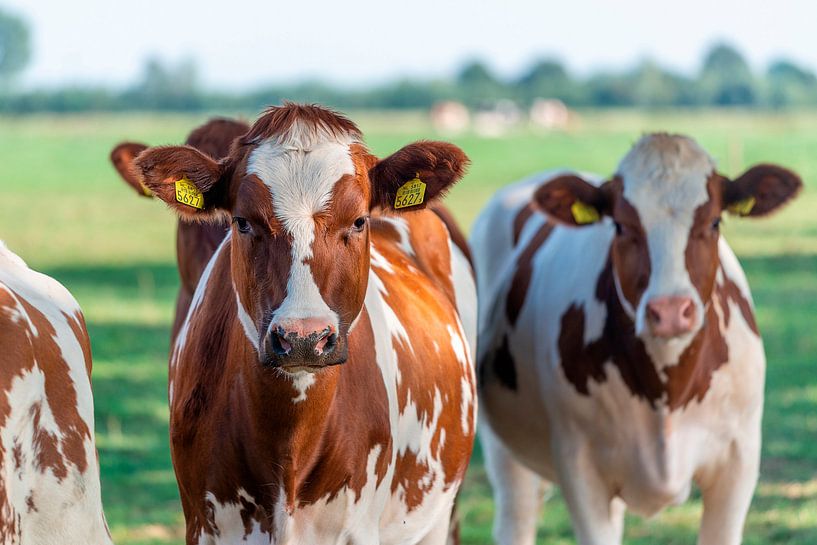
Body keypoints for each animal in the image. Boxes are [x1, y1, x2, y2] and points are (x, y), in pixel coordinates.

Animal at [474, 133, 800, 544]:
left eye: (714, 221)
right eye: (620, 226)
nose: (671, 311)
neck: (667, 391)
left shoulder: (739, 459)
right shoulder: (579, 466)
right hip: (501, 446)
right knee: (515, 515)